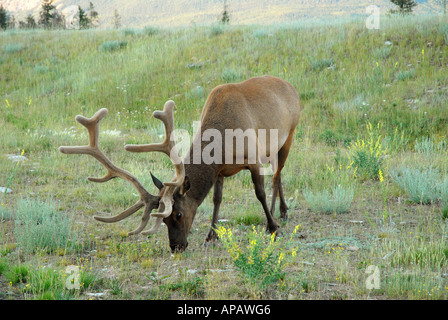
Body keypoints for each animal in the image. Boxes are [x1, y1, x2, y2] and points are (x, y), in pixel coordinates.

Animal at [58, 75, 298, 252]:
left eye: (179, 214)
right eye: (163, 221)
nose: (176, 247)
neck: (224, 143)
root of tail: (290, 85)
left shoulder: (254, 158)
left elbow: (259, 193)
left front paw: (272, 228)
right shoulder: (219, 171)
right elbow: (217, 199)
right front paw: (211, 236)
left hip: (290, 134)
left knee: (276, 176)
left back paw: (278, 213)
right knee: (278, 174)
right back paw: (282, 211)